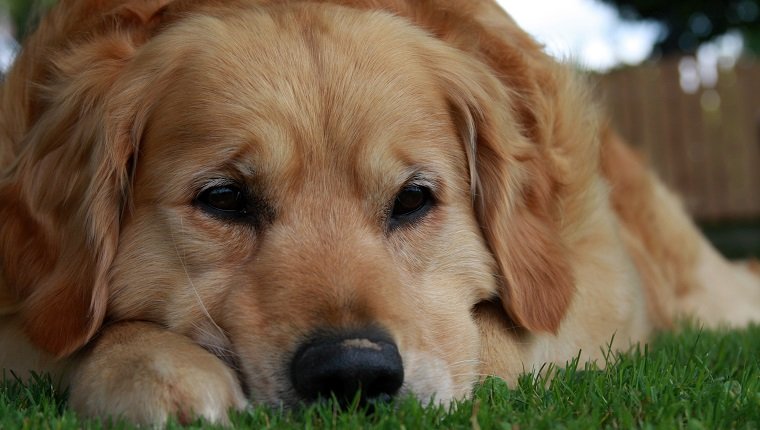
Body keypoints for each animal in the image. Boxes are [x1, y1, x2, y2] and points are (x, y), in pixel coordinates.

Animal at [1, 0, 760, 424]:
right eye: (223, 199)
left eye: (414, 199)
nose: (352, 374)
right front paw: (150, 366)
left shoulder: (595, 286)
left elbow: (490, 341)